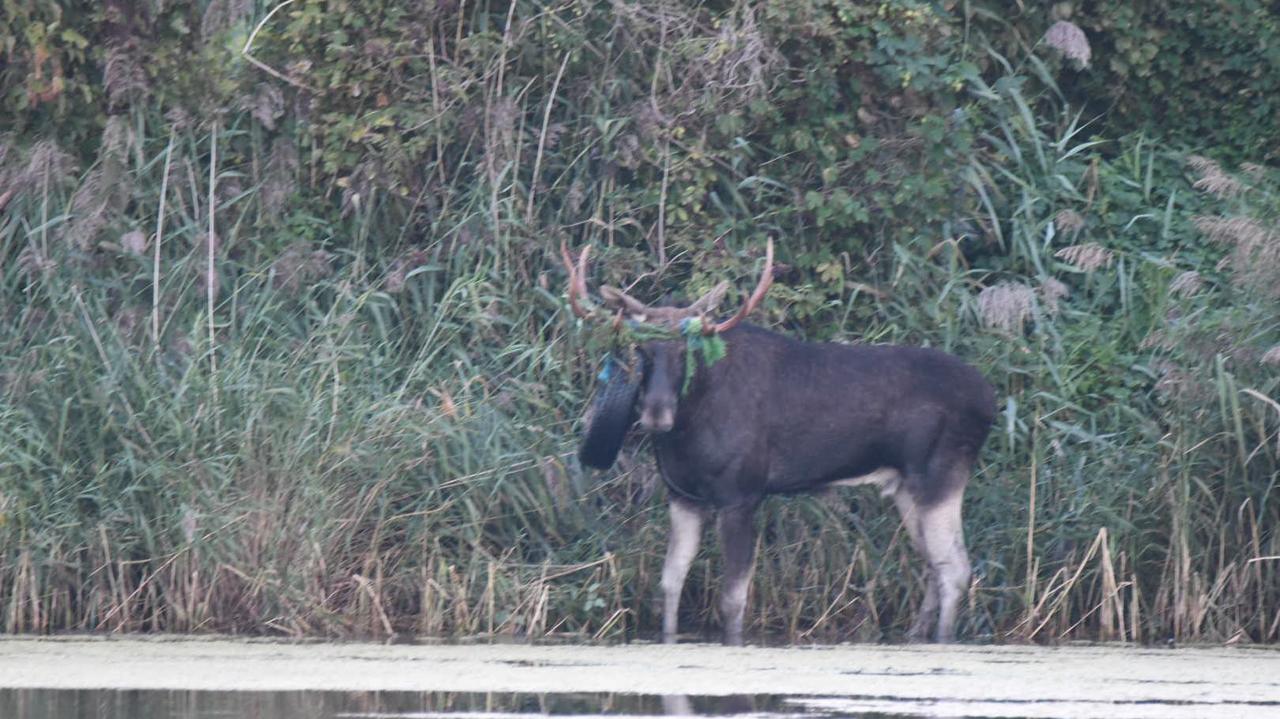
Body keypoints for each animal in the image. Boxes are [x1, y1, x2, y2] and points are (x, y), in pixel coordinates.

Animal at [565, 240, 993, 644]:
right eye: (641, 348)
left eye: (687, 349)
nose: (656, 414)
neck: (689, 428)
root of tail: (990, 401)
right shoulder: (683, 495)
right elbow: (670, 584)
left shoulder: (741, 494)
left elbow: (733, 599)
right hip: (906, 487)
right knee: (934, 566)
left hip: (941, 473)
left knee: (955, 569)